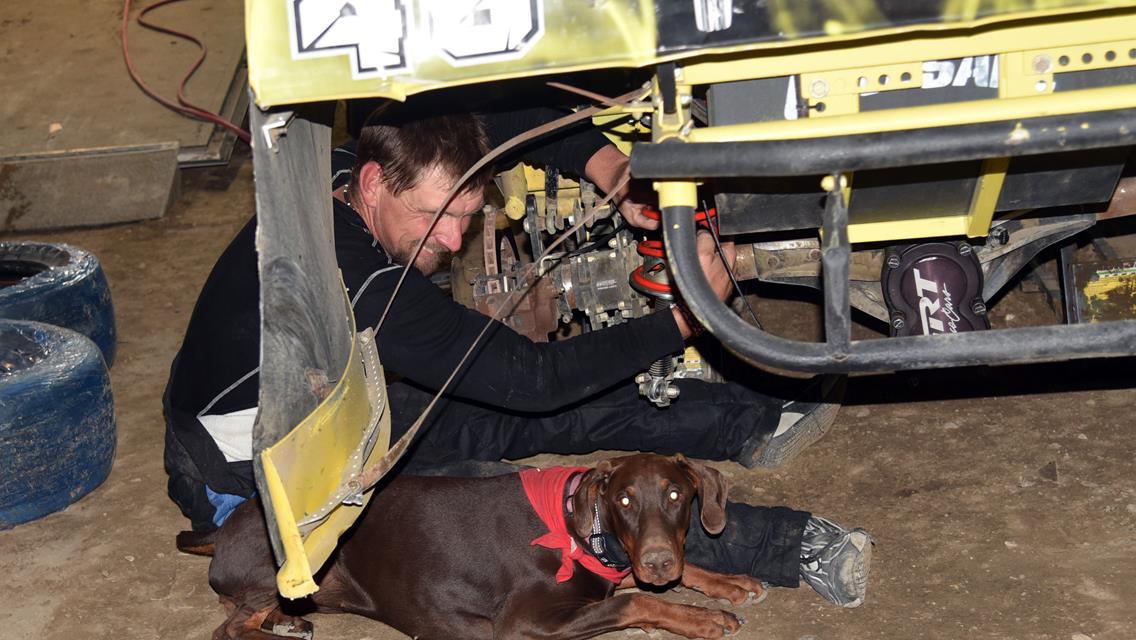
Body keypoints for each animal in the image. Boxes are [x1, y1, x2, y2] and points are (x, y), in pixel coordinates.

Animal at [201, 452, 767, 636]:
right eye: (624, 500)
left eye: (675, 495)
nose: (657, 562)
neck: (581, 530)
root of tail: (221, 531)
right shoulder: (524, 621)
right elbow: (634, 601)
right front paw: (703, 619)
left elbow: (646, 581)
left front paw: (729, 583)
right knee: (227, 626)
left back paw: (287, 622)